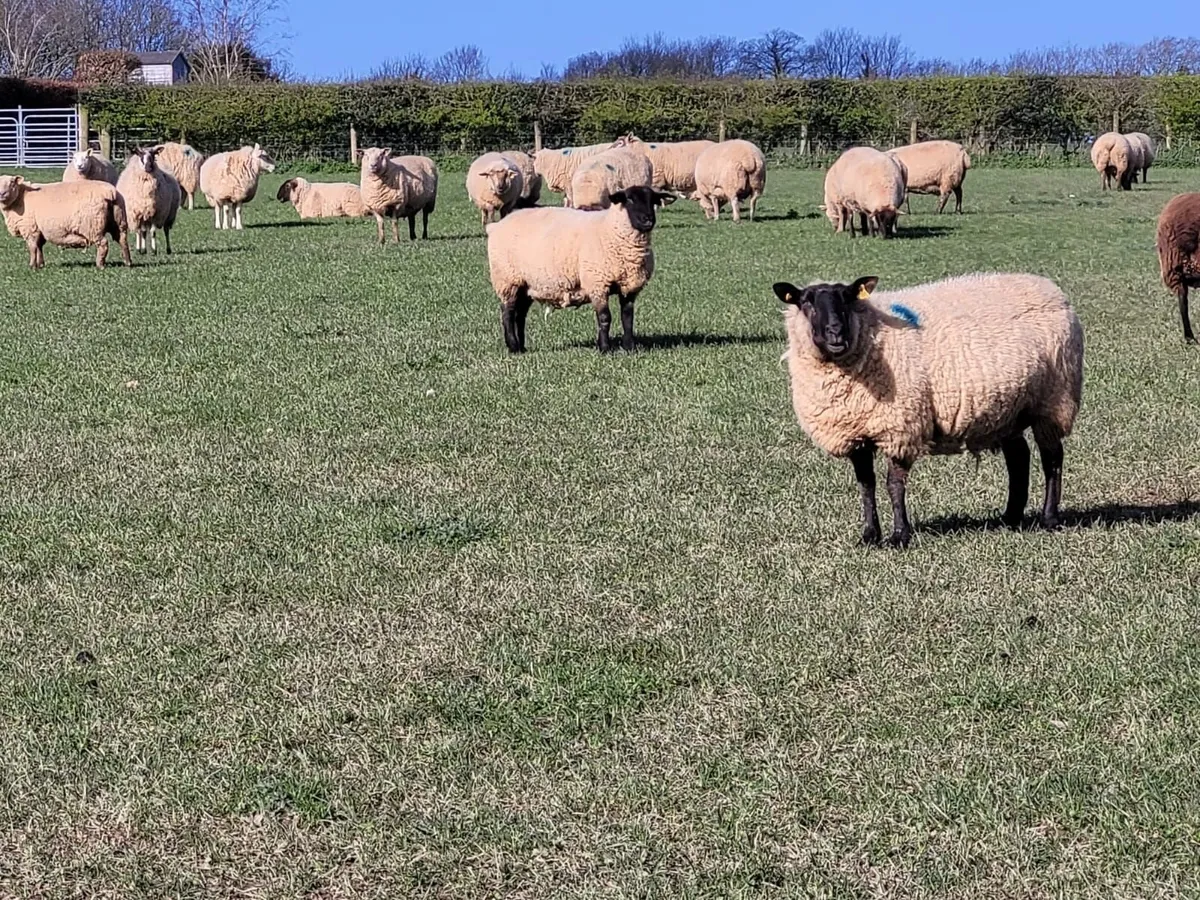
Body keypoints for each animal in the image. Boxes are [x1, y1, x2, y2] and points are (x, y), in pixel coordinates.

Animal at [0, 175, 131, 269]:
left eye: (12, 182)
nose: (2, 194)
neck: (21, 197)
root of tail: (111, 192)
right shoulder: (39, 230)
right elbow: (39, 247)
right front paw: (41, 264)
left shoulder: (29, 228)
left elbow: (32, 247)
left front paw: (32, 266)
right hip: (119, 221)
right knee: (122, 240)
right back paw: (128, 262)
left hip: (93, 226)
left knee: (103, 244)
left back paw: (100, 265)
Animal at [485, 185, 673, 353]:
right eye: (629, 199)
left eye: (653, 200)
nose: (648, 220)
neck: (610, 229)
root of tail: (495, 226)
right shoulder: (597, 283)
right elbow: (605, 318)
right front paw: (604, 348)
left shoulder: (629, 287)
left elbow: (627, 318)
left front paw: (629, 348)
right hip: (507, 279)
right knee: (507, 313)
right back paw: (513, 346)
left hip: (528, 284)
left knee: (520, 315)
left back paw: (522, 347)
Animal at [772, 272, 1084, 547]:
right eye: (806, 301)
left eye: (847, 298)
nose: (836, 333)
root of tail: (1053, 290)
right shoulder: (855, 433)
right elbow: (866, 485)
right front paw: (870, 536)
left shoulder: (900, 427)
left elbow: (893, 485)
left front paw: (900, 536)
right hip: (1008, 408)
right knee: (1019, 457)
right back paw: (1011, 517)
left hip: (1053, 401)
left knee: (1052, 458)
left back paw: (1049, 518)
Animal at [1155, 192, 1200, 344]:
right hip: (1173, 265)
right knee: (1182, 300)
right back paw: (1190, 337)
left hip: (1174, 266)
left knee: (1182, 299)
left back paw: (1189, 338)